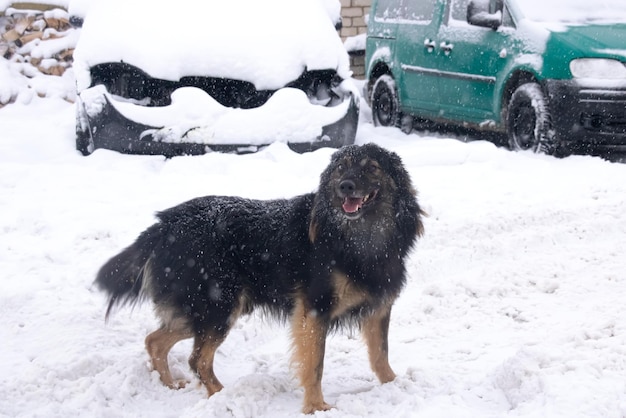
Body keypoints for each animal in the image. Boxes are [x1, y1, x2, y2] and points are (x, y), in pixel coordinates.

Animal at [95, 143, 422, 412]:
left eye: (372, 167)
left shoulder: (379, 305)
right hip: (218, 305)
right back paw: (222, 396)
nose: (345, 186)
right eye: (341, 167)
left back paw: (172, 384)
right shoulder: (314, 309)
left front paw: (394, 384)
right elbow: (315, 364)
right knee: (197, 359)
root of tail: (164, 225)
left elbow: (380, 353)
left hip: (202, 309)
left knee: (155, 341)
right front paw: (316, 406)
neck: (357, 235)